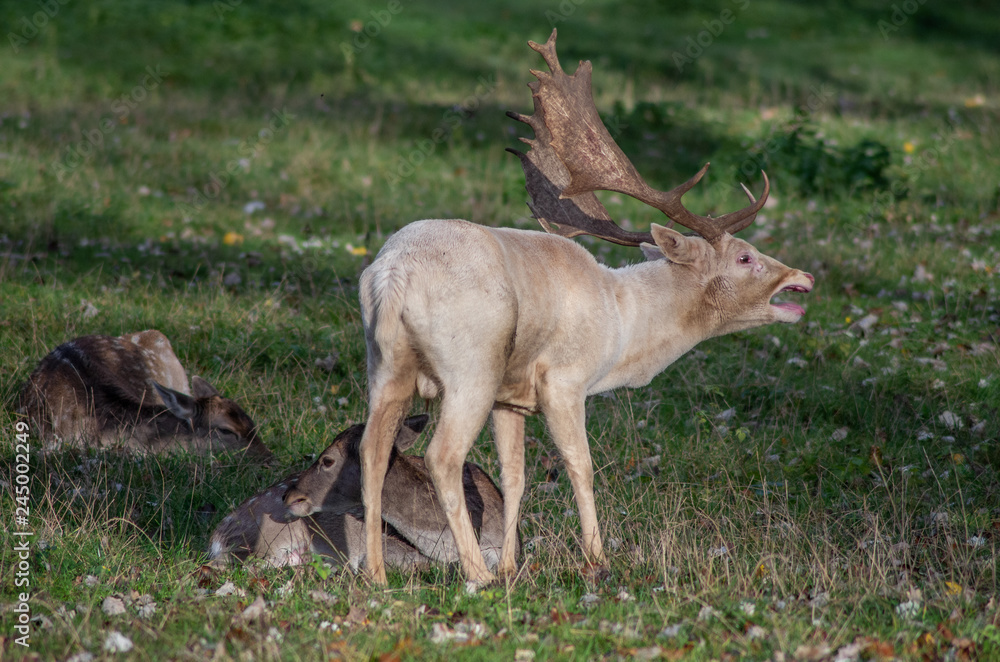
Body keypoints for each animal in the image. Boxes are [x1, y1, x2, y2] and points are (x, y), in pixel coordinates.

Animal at [358, 28, 812, 588]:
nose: (803, 278)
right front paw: (595, 557)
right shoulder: (564, 379)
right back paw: (476, 575)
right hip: (471, 364)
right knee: (442, 456)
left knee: (371, 450)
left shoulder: (513, 396)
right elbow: (582, 465)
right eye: (746, 257)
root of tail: (393, 275)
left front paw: (513, 564)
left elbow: (515, 475)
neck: (623, 328)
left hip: (386, 362)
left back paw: (378, 575)